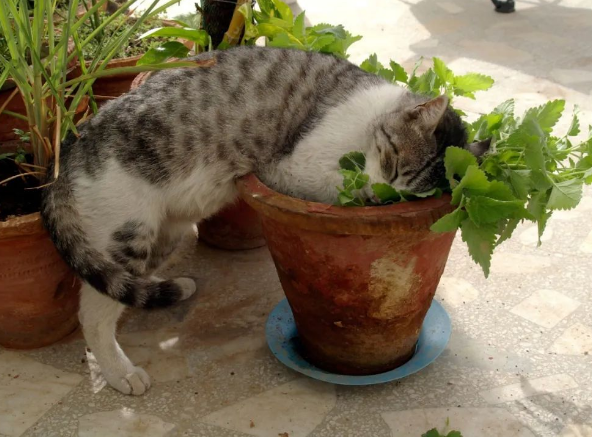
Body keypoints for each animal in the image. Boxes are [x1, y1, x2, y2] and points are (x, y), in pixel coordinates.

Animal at [39, 46, 488, 394]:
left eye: (404, 196)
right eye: (393, 163)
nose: (380, 197)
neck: (367, 124)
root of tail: (68, 154)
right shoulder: (294, 168)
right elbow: (336, 182)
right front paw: (359, 193)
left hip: (166, 234)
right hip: (128, 231)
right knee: (93, 313)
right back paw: (120, 373)